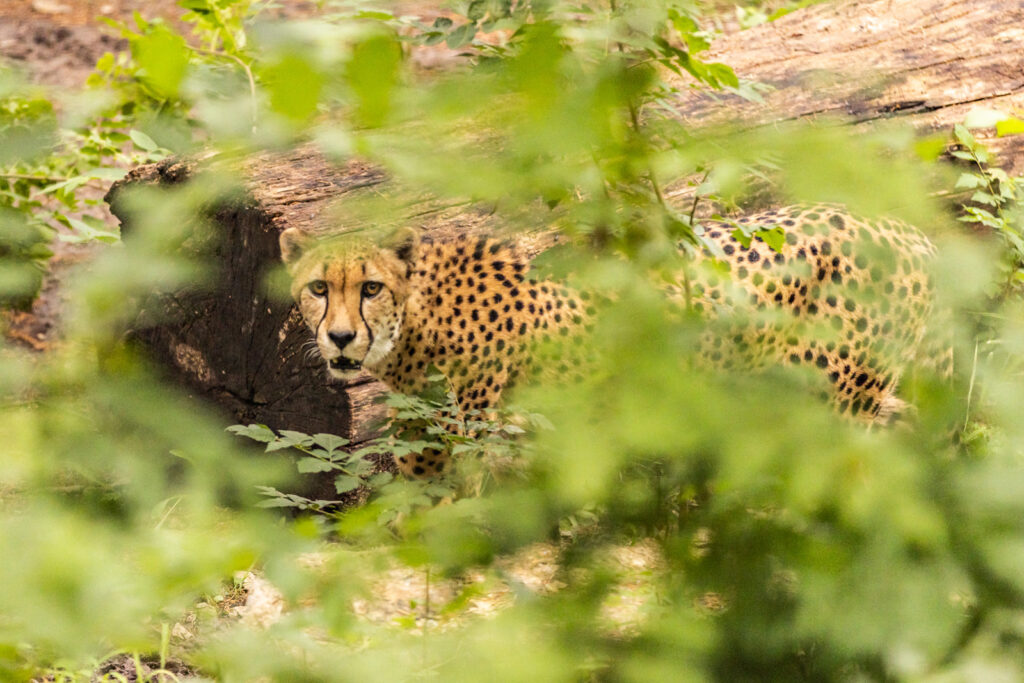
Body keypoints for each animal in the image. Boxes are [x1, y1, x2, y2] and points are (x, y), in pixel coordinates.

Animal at [279, 203, 944, 477]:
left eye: (370, 288)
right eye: (318, 287)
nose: (340, 338)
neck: (417, 323)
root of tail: (902, 227)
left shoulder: (474, 439)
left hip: (828, 401)